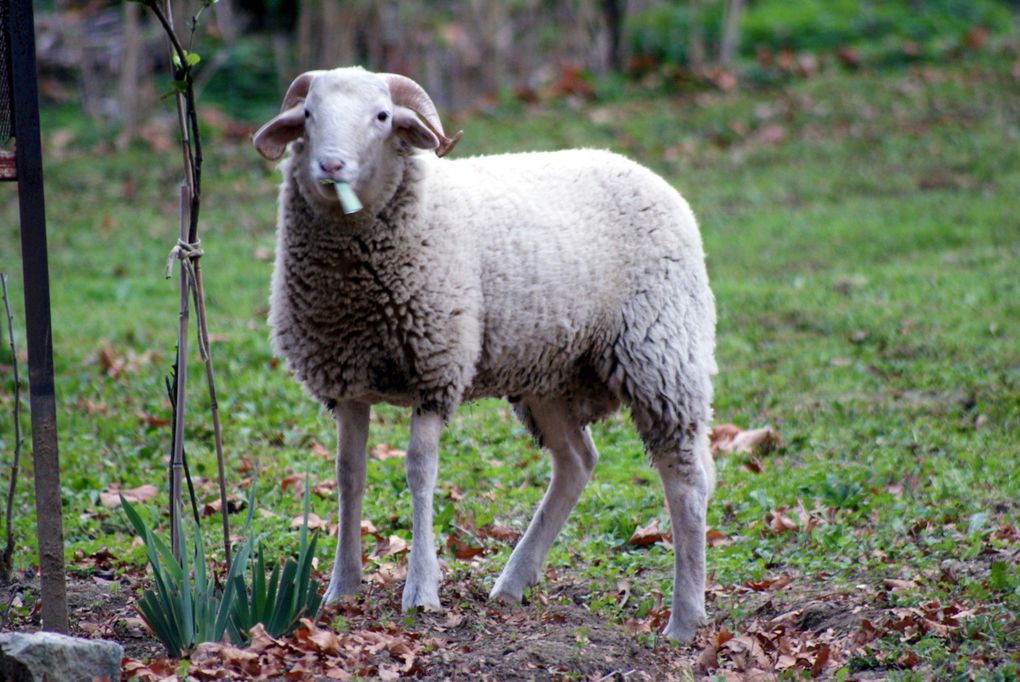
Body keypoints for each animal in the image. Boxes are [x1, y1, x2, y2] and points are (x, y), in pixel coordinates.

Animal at [253, 66, 718, 640]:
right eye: (308, 113)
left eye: (382, 116)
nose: (331, 166)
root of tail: (645, 172)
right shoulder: (345, 382)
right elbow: (348, 475)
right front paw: (342, 589)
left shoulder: (436, 369)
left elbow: (419, 472)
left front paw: (421, 593)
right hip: (549, 372)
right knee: (576, 463)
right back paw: (513, 583)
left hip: (661, 353)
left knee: (686, 479)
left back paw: (684, 619)